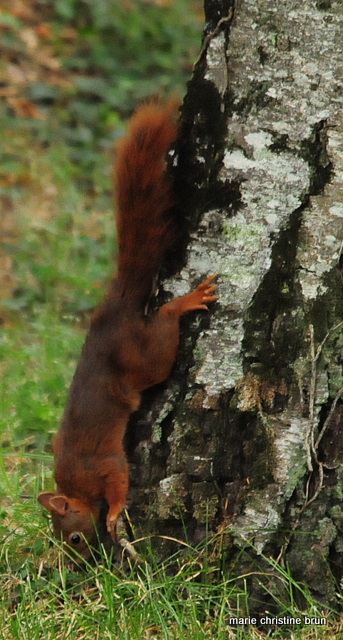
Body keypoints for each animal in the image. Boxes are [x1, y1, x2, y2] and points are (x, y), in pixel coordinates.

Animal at [37, 101, 219, 560]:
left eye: (74, 537)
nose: (79, 563)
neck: (74, 482)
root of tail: (113, 309)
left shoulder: (104, 464)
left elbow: (119, 484)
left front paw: (115, 516)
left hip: (147, 355)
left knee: (166, 322)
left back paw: (186, 301)